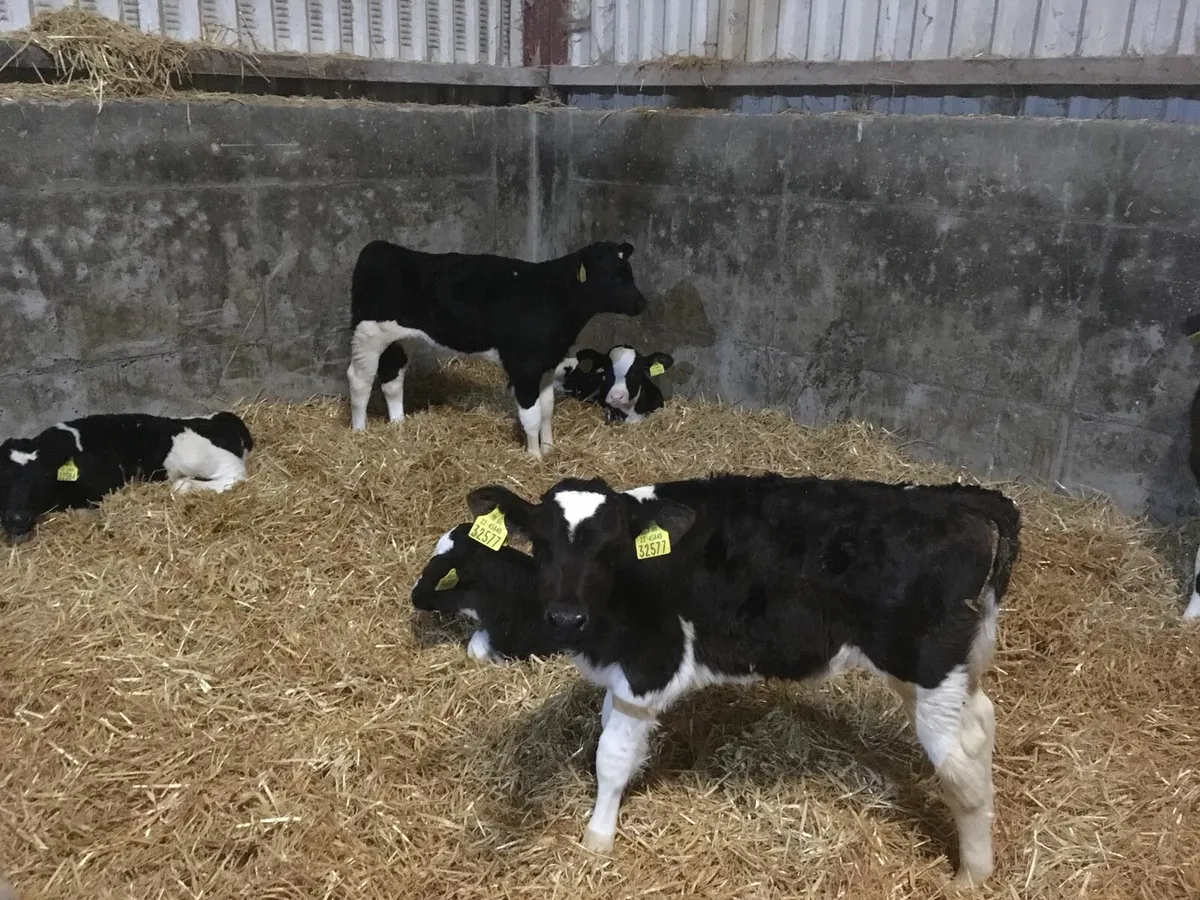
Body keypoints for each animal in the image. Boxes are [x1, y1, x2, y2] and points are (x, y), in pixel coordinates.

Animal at [0, 412, 253, 544]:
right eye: (3, 479)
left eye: (43, 477)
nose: (16, 519)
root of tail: (222, 419)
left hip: (197, 457)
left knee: (235, 476)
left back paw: (185, 484)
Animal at [347, 240, 646, 458]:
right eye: (611, 276)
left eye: (629, 274)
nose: (641, 304)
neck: (553, 297)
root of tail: (378, 247)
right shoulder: (524, 366)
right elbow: (531, 416)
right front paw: (534, 456)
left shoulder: (548, 363)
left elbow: (547, 409)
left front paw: (550, 448)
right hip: (368, 334)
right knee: (360, 379)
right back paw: (359, 431)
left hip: (398, 338)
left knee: (392, 378)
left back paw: (399, 424)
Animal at [464, 472, 1021, 886]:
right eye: (540, 544)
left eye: (610, 547)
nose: (565, 618)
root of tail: (951, 499)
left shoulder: (648, 668)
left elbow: (613, 758)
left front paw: (597, 840)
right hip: (941, 671)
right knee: (982, 722)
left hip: (928, 668)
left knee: (961, 766)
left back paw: (971, 876)